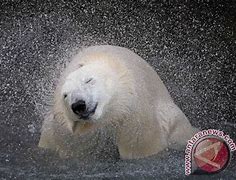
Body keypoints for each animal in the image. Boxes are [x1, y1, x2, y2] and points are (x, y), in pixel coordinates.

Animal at [38, 45, 197, 159]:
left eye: (89, 80)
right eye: (65, 95)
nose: (78, 105)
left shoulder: (135, 110)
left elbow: (142, 144)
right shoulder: (64, 130)